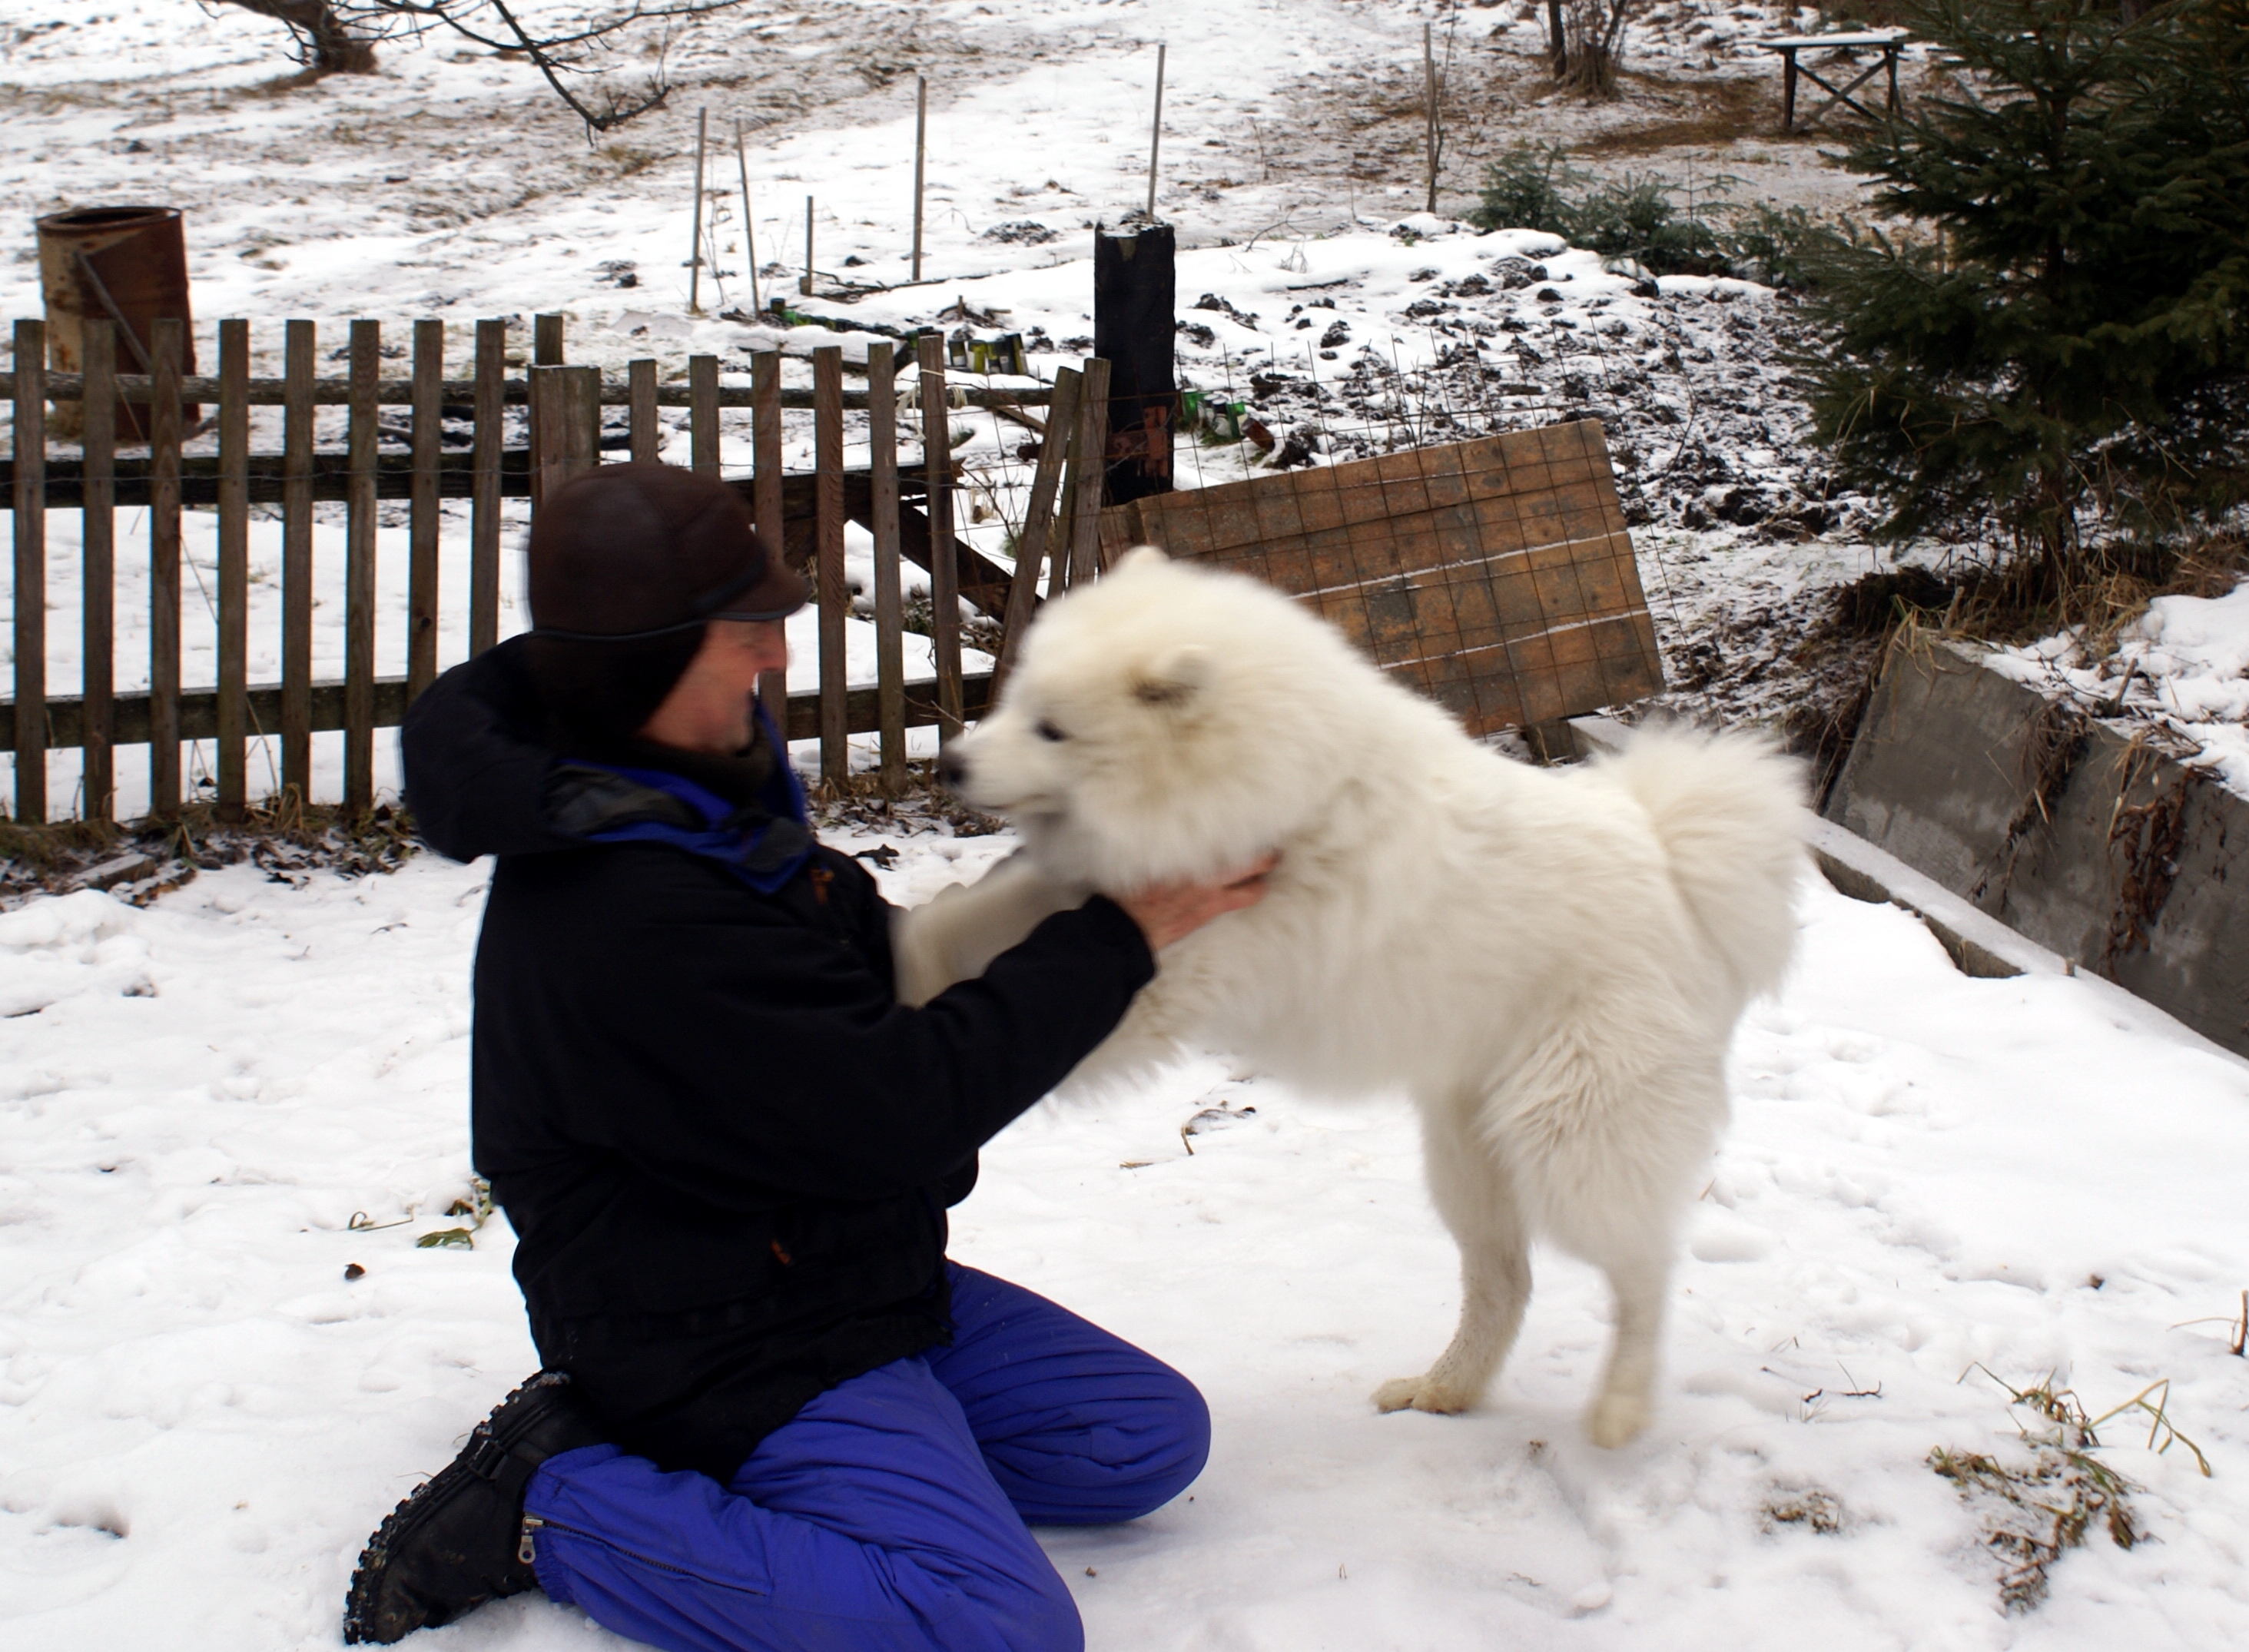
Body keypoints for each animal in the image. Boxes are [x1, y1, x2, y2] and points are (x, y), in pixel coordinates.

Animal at [896, 548, 1805, 1446]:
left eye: (1052, 728)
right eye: (1015, 700)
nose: (950, 762)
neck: (1271, 789)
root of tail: (1676, 872)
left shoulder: (1159, 973)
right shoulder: (1090, 905)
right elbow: (967, 929)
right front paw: (904, 956)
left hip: (1571, 1145)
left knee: (1641, 1271)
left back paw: (1617, 1407)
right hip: (1467, 1155)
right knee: (1503, 1278)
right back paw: (1444, 1387)